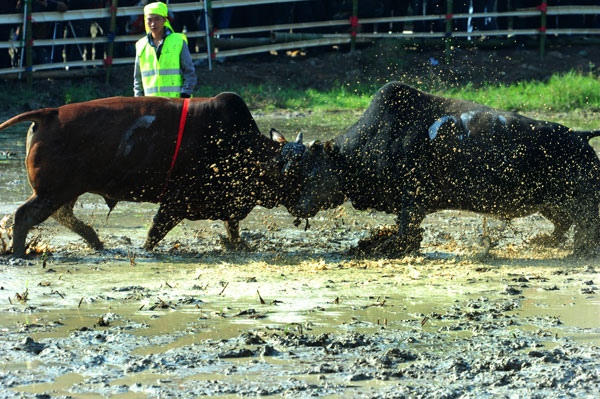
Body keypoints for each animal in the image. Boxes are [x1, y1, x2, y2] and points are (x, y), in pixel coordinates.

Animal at [0, 94, 296, 258]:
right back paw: (19, 253)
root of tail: (50, 114)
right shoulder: (176, 203)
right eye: (296, 174)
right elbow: (155, 232)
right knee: (24, 216)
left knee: (62, 215)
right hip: (52, 191)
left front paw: (239, 244)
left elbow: (232, 227)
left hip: (65, 191)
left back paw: (95, 241)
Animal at [284, 83, 600, 256]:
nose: (296, 206)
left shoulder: (412, 199)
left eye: (312, 172)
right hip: (551, 203)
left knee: (585, 226)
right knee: (563, 225)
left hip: (581, 201)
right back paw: (544, 241)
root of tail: (580, 135)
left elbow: (406, 232)